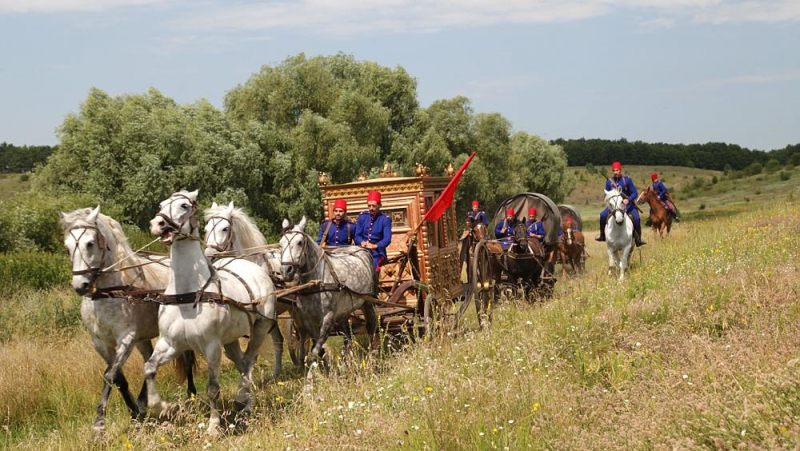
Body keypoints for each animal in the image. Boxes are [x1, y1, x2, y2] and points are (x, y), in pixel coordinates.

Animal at [59, 207, 195, 438]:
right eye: (68, 246)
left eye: (90, 243)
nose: (80, 285)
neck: (111, 292)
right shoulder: (100, 343)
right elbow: (118, 378)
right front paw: (134, 413)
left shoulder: (126, 338)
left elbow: (109, 375)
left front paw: (99, 425)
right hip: (143, 338)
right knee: (149, 360)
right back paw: (143, 403)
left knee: (188, 359)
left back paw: (191, 396)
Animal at [145, 190, 280, 434]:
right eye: (161, 204)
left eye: (184, 205)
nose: (158, 224)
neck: (187, 294)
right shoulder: (171, 344)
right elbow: (149, 368)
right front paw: (164, 407)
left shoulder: (212, 346)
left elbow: (212, 388)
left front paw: (213, 427)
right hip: (231, 340)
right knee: (242, 363)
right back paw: (247, 402)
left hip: (260, 328)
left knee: (249, 361)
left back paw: (242, 399)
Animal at [278, 217, 378, 376]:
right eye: (280, 243)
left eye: (299, 242)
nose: (285, 271)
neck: (316, 282)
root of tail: (362, 250)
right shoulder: (308, 321)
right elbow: (317, 349)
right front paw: (328, 371)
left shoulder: (328, 318)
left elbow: (315, 350)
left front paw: (310, 379)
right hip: (343, 311)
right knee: (347, 338)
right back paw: (344, 366)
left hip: (367, 301)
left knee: (371, 326)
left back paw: (372, 358)